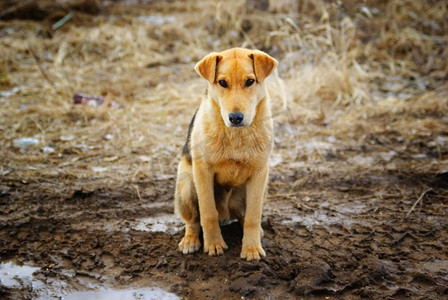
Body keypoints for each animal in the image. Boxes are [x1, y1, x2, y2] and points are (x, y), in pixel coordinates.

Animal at [174, 47, 276, 260]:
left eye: (250, 81)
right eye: (222, 83)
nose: (236, 118)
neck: (236, 135)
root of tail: (227, 213)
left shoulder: (259, 172)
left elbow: (253, 216)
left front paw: (251, 248)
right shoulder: (203, 172)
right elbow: (208, 213)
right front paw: (214, 244)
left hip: (261, 188)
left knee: (245, 216)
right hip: (187, 184)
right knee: (193, 221)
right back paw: (190, 240)